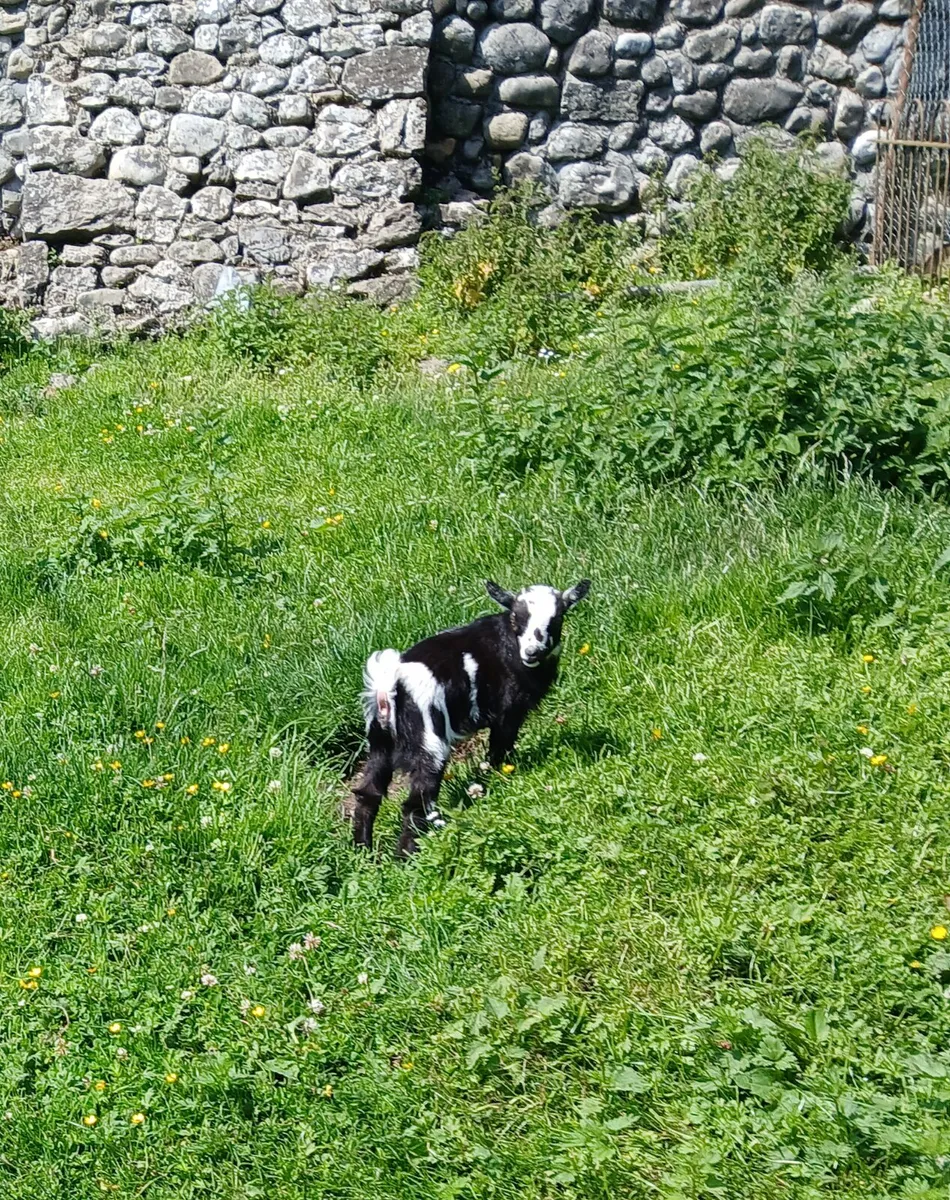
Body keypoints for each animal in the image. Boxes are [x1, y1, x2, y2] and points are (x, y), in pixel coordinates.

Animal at [352, 578, 590, 856]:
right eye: (515, 618)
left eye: (557, 618)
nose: (532, 652)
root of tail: (387, 686)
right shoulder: (508, 711)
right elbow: (500, 748)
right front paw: (501, 774)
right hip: (430, 741)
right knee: (416, 803)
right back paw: (407, 857)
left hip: (379, 741)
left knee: (369, 793)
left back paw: (364, 852)